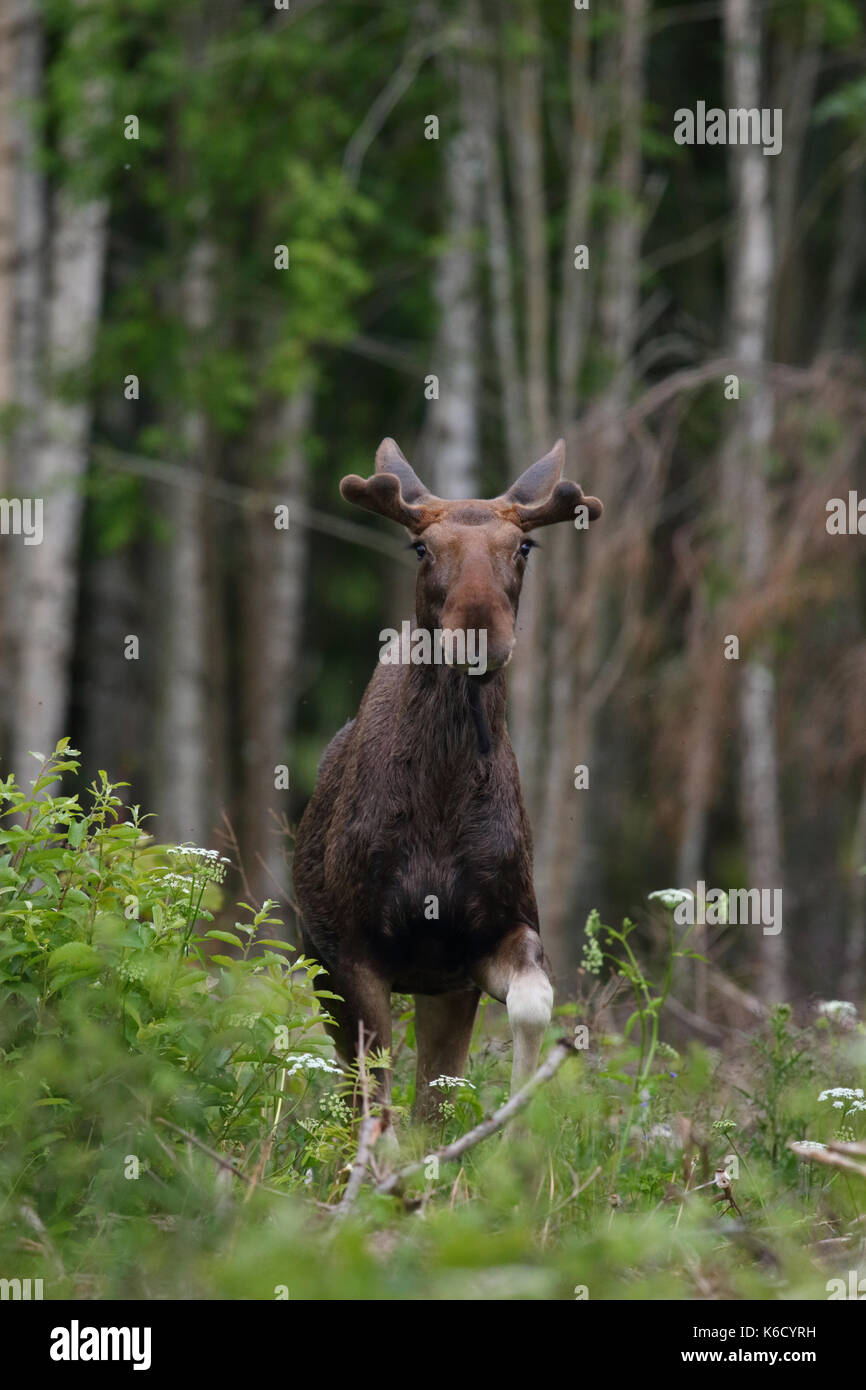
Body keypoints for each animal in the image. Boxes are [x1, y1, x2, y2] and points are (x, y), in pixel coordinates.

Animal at [293, 439, 603, 1123]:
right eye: (421, 547)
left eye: (523, 547)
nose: (480, 627)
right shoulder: (353, 951)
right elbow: (374, 1091)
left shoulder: (487, 939)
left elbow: (532, 1008)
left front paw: (508, 1137)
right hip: (318, 957)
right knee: (356, 1084)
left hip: (440, 990)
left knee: (432, 1093)